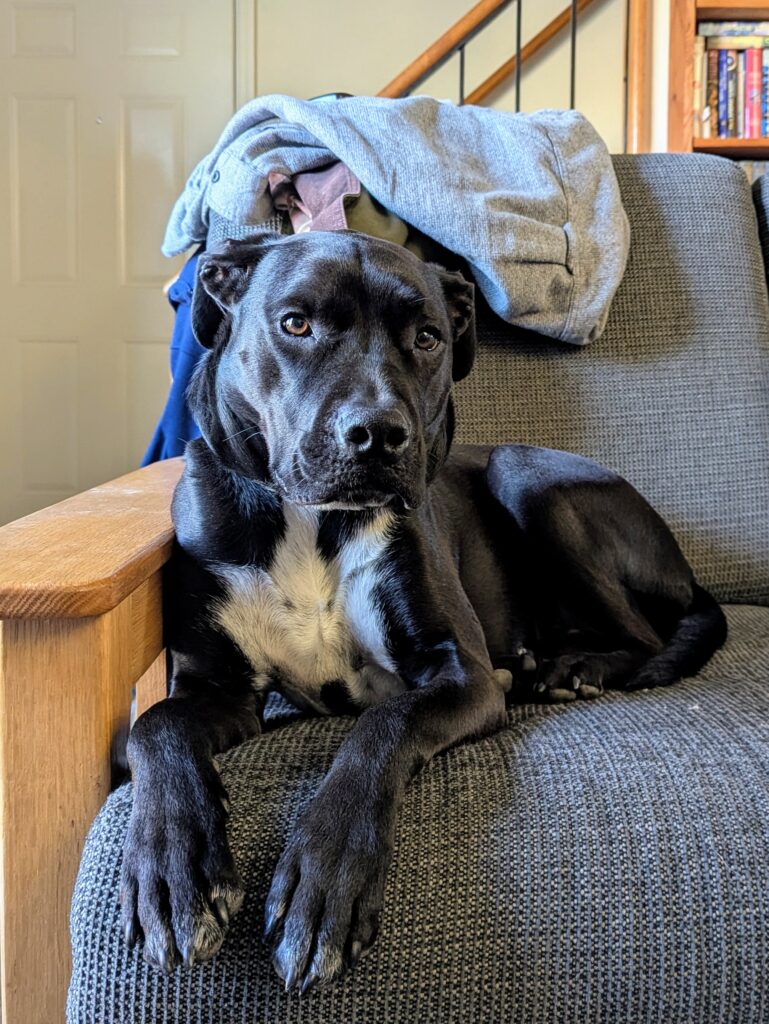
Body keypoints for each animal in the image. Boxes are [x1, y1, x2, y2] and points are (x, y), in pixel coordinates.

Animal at [121, 230, 729, 991]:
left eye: (428, 337)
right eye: (295, 323)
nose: (377, 434)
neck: (315, 522)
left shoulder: (460, 675)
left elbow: (380, 728)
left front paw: (325, 883)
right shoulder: (219, 689)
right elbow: (156, 727)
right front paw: (175, 871)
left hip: (526, 477)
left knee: (645, 636)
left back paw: (572, 668)